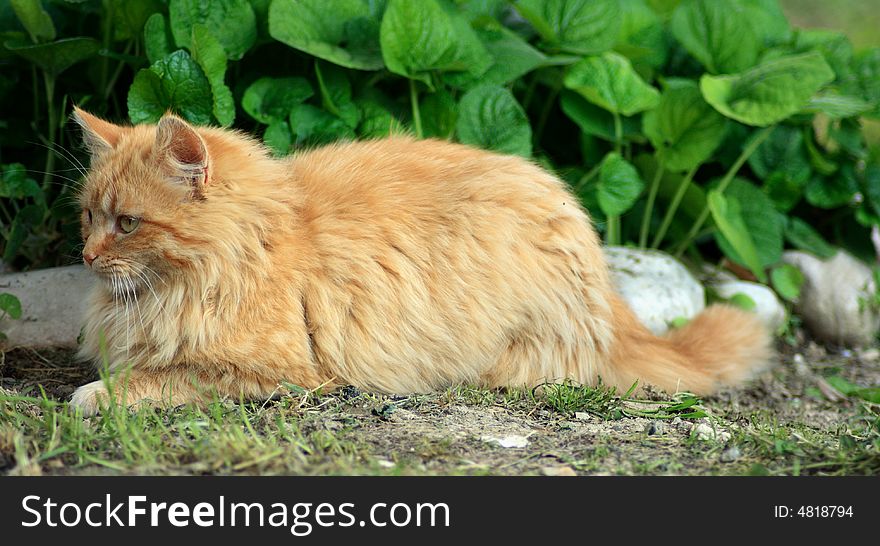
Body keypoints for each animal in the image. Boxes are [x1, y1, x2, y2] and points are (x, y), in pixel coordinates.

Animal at [67, 106, 768, 414]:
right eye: (88, 217)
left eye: (127, 223)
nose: (86, 255)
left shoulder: (278, 371)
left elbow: (160, 378)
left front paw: (96, 394)